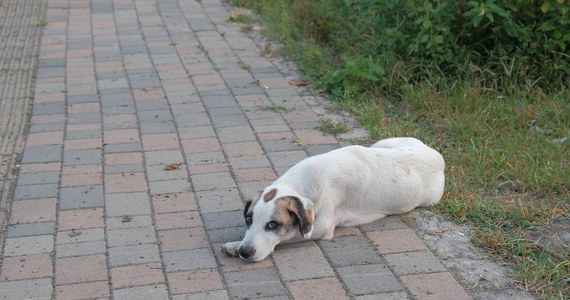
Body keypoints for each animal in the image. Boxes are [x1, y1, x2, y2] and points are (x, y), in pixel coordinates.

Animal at [221, 137, 444, 262]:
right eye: (248, 220)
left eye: (273, 224)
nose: (245, 252)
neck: (302, 182)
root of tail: (437, 155)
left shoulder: (321, 226)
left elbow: (294, 234)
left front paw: (234, 245)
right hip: (383, 143)